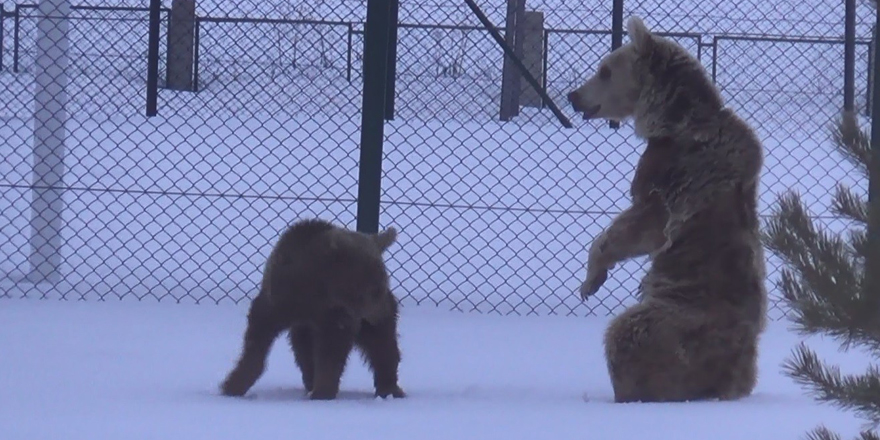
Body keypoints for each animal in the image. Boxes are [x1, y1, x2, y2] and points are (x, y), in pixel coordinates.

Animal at [220, 218, 406, 400]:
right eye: (374, 288)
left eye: (381, 284)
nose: (382, 312)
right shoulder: (279, 299)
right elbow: (257, 340)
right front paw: (232, 386)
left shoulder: (336, 315)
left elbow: (331, 351)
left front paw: (323, 391)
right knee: (304, 350)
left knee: (382, 345)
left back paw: (390, 388)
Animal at [568, 16, 768, 402]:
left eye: (604, 70)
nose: (574, 96)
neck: (673, 121)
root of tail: (733, 370)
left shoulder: (667, 174)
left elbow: (638, 225)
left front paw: (592, 279)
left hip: (677, 319)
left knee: (626, 334)